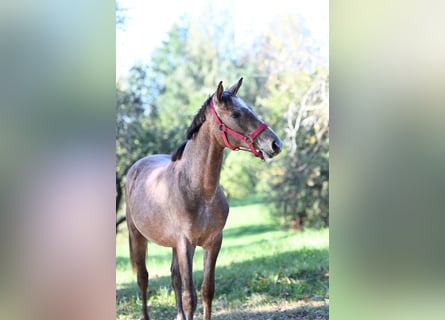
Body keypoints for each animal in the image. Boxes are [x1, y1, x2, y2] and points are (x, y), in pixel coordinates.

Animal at [125, 78, 280, 320]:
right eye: (236, 114)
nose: (275, 144)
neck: (200, 190)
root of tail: (136, 167)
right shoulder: (185, 243)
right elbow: (191, 297)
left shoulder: (213, 242)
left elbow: (208, 290)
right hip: (137, 236)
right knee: (143, 278)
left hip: (172, 245)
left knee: (174, 277)